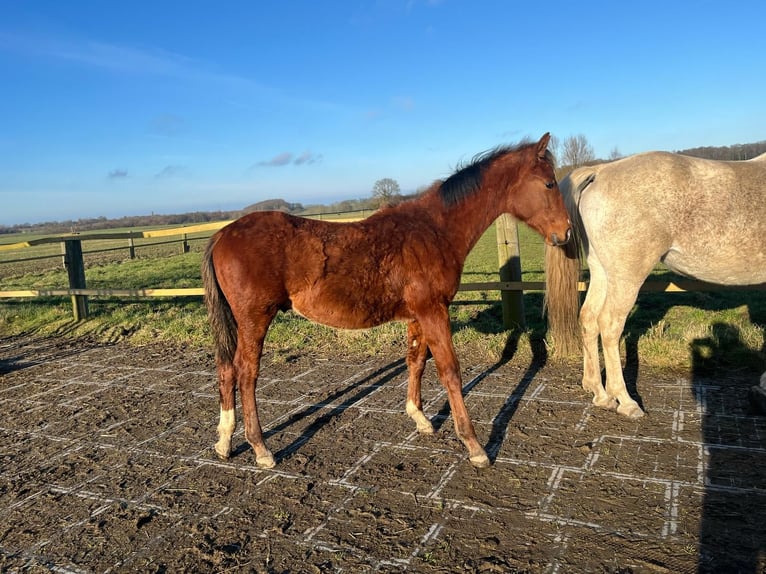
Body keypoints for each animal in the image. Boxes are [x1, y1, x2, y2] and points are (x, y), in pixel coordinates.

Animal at [201, 133, 572, 470]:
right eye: (549, 183)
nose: (566, 233)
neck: (433, 230)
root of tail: (221, 234)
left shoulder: (418, 315)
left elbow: (416, 361)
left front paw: (420, 418)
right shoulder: (434, 311)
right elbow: (450, 371)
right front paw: (474, 446)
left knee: (226, 369)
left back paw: (224, 441)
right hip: (255, 319)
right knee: (246, 372)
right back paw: (261, 448)